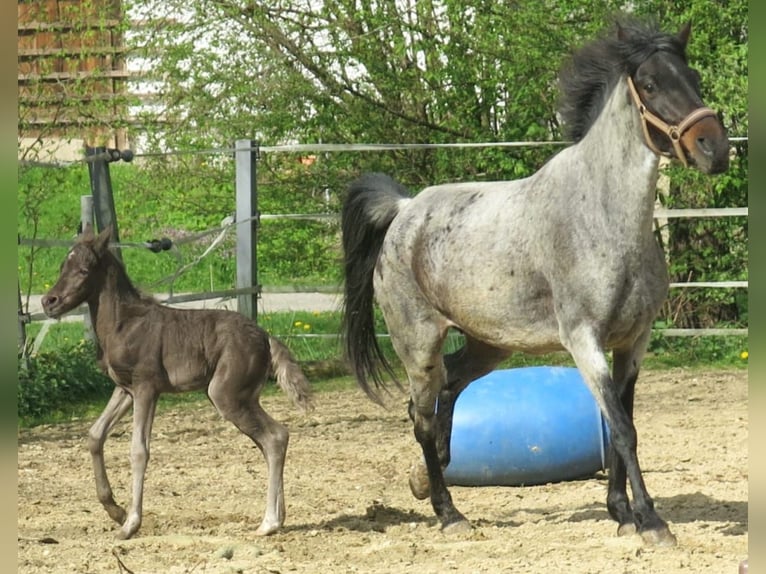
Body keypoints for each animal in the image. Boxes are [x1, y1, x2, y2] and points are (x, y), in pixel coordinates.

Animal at [40, 227, 312, 544]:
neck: (124, 323)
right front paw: (115, 510)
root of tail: (265, 337)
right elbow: (95, 435)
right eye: (62, 266)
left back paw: (268, 522)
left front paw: (130, 523)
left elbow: (139, 450)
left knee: (274, 438)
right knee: (275, 438)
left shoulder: (146, 387)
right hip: (240, 397)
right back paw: (279, 518)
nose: (49, 302)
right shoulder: (124, 389)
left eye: (84, 270)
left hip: (226, 395)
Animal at [342, 19, 732, 548]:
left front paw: (621, 512)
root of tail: (404, 210)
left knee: (448, 388)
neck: (604, 216)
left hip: (489, 343)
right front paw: (651, 523)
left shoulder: (633, 341)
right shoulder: (583, 340)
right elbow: (623, 429)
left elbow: (621, 423)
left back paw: (426, 478)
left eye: (693, 77)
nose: (716, 149)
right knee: (421, 416)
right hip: (418, 345)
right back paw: (448, 512)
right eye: (650, 84)